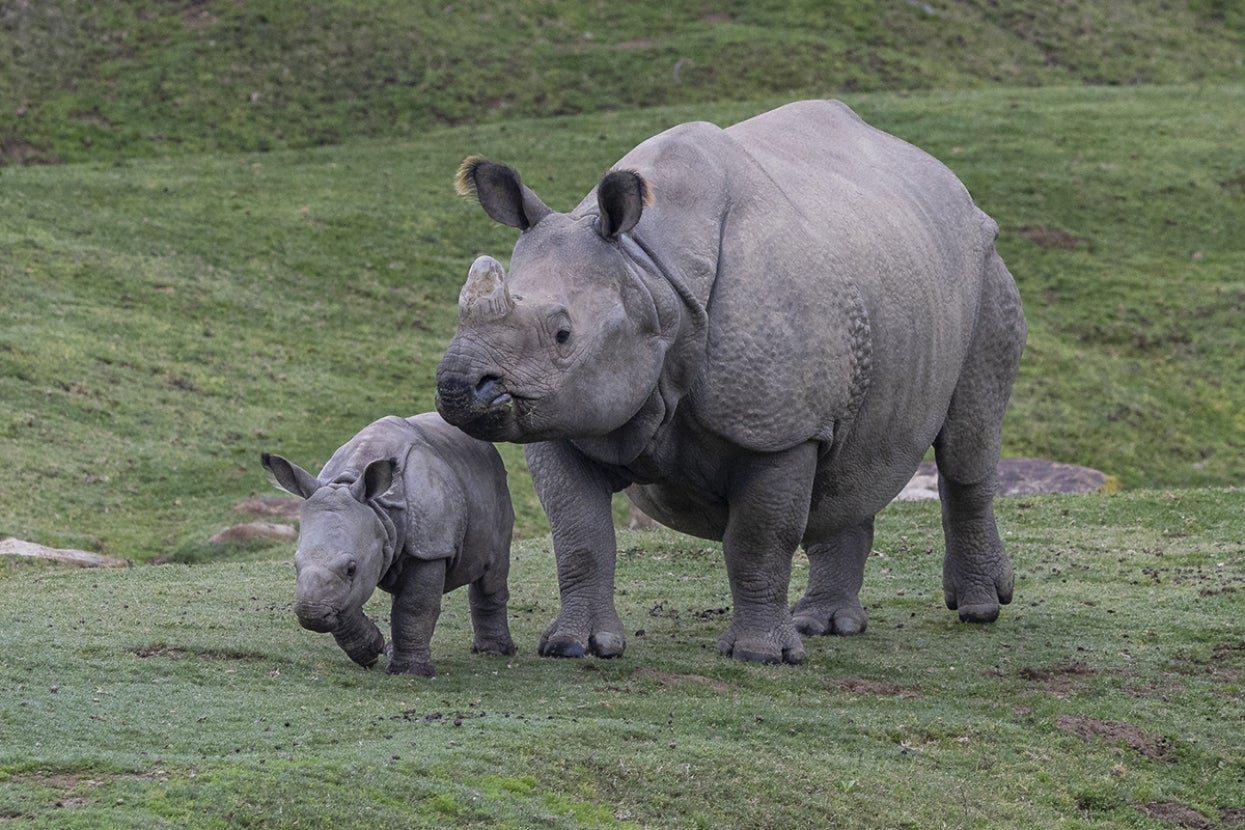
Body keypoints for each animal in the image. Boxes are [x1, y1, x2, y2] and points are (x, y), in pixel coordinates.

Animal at [261, 413, 515, 676]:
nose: (312, 615)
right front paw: (371, 650)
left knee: (492, 573)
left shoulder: (429, 548)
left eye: (351, 569)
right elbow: (347, 602)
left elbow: (415, 607)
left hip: (496, 486)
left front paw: (409, 672)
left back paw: (493, 652)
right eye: (295, 565)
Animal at [435, 99, 1026, 664]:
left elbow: (758, 541)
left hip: (984, 265)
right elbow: (579, 536)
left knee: (966, 443)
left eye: (562, 334)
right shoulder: (569, 415)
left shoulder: (779, 429)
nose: (457, 387)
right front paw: (574, 647)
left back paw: (977, 609)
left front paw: (759, 654)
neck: (650, 274)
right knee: (848, 463)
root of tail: (950, 181)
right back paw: (827, 625)